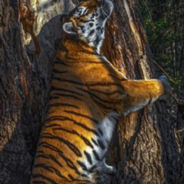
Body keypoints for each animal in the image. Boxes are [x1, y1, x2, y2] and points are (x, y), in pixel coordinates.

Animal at [29, 0, 172, 184]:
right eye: (82, 10)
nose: (101, 0)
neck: (79, 43)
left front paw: (108, 169)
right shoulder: (122, 90)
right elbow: (148, 86)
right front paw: (166, 86)